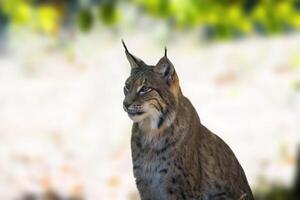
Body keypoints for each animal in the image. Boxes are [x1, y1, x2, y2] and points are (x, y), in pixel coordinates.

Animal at [122, 41, 253, 200]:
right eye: (127, 86)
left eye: (145, 89)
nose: (125, 104)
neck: (152, 131)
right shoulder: (145, 185)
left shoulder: (182, 189)